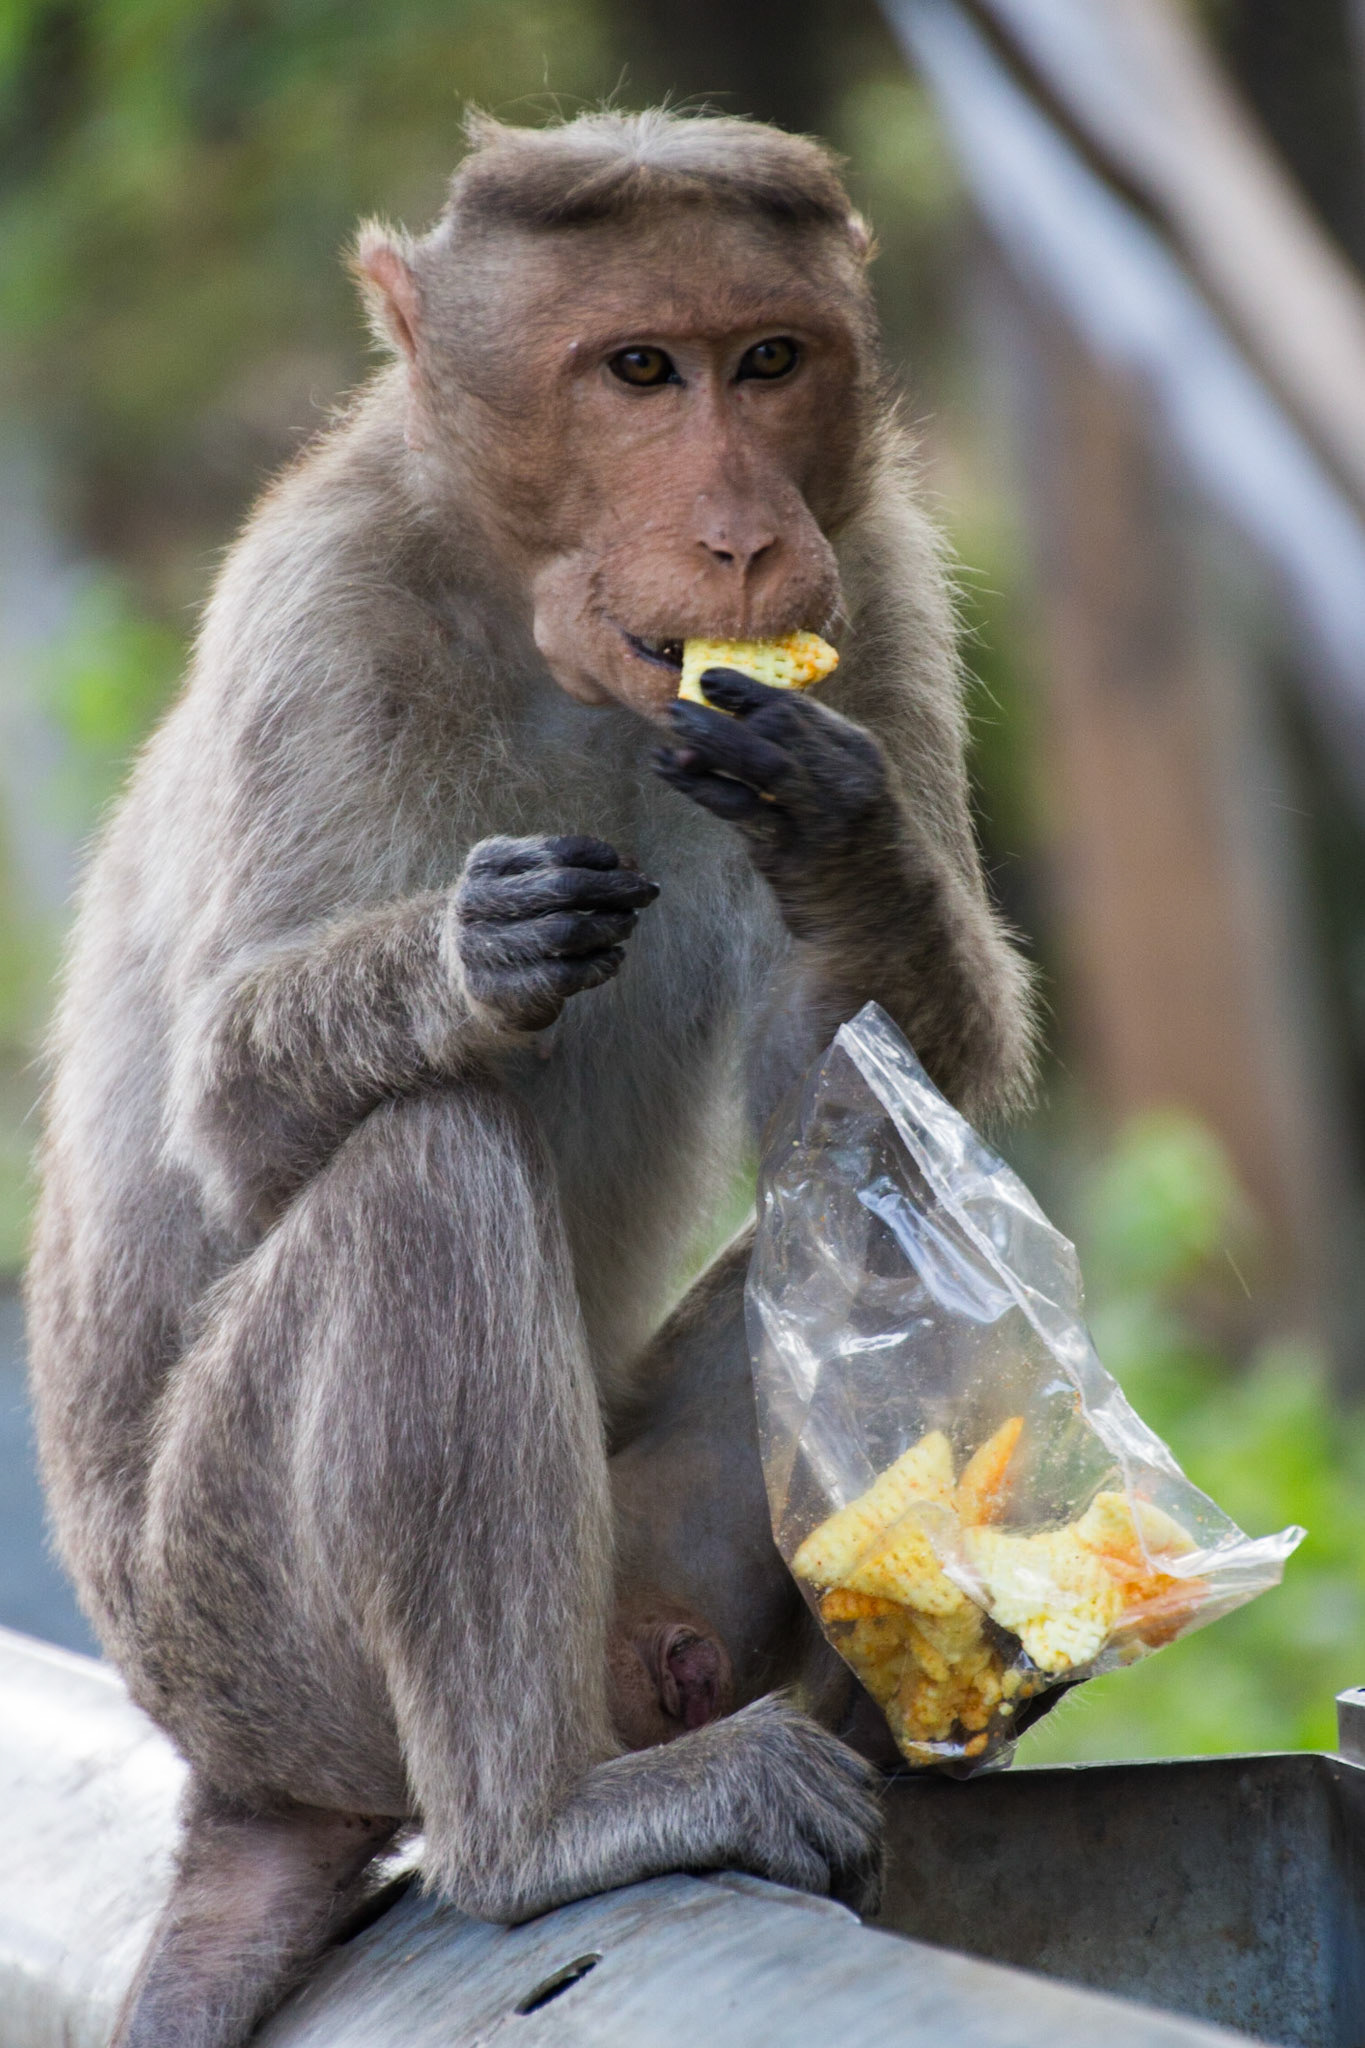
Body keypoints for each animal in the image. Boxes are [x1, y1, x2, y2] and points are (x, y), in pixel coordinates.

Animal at [24, 109, 1035, 2048]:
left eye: (767, 359)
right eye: (638, 371)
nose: (744, 539)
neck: (531, 619)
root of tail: (230, 1778)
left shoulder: (873, 570)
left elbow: (860, 1081)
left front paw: (841, 825)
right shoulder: (319, 609)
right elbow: (228, 1121)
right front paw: (468, 959)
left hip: (650, 1562)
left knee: (881, 1177)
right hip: (252, 1640)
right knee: (421, 1173)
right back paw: (539, 1827)